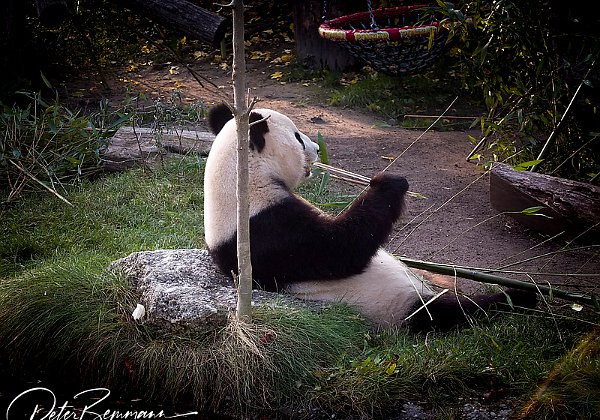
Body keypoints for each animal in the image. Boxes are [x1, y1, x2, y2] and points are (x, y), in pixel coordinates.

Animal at [203, 103, 536, 330]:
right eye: (297, 137)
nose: (316, 148)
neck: (242, 181)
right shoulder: (267, 231)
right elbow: (341, 250)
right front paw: (388, 183)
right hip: (396, 306)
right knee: (453, 312)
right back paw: (520, 297)